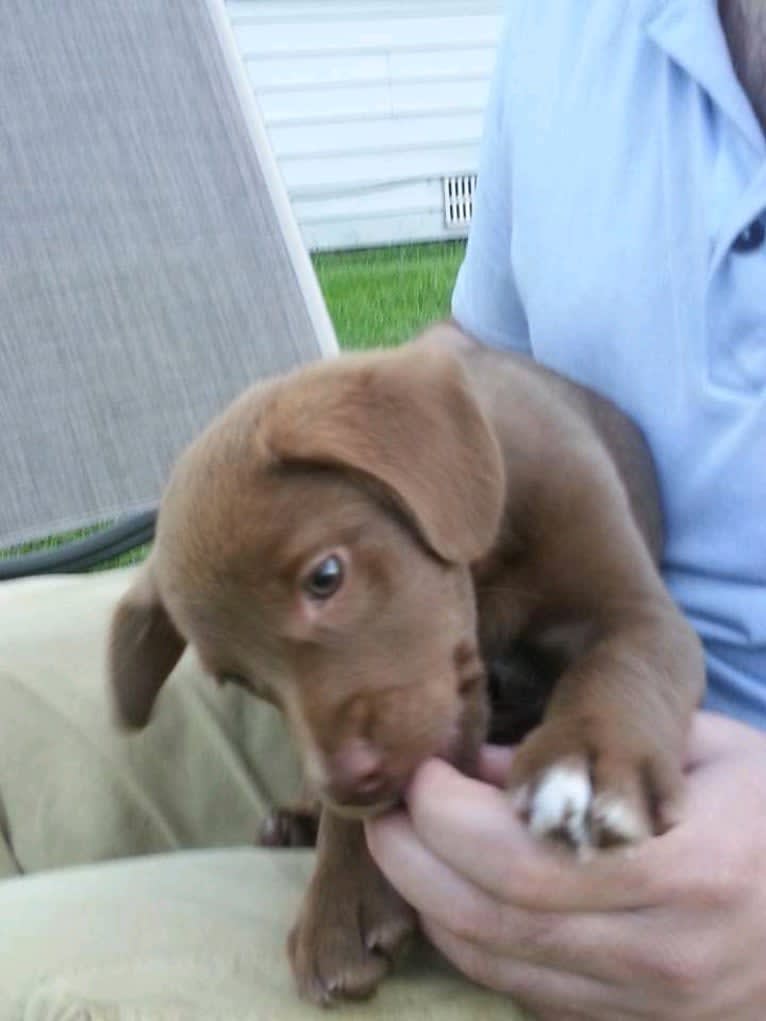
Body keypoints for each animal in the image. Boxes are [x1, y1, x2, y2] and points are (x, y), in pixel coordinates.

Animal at [109, 324, 706, 1004]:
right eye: (240, 678)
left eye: (326, 576)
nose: (346, 782)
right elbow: (355, 820)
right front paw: (341, 901)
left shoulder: (635, 613)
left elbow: (620, 669)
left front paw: (587, 762)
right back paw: (297, 816)